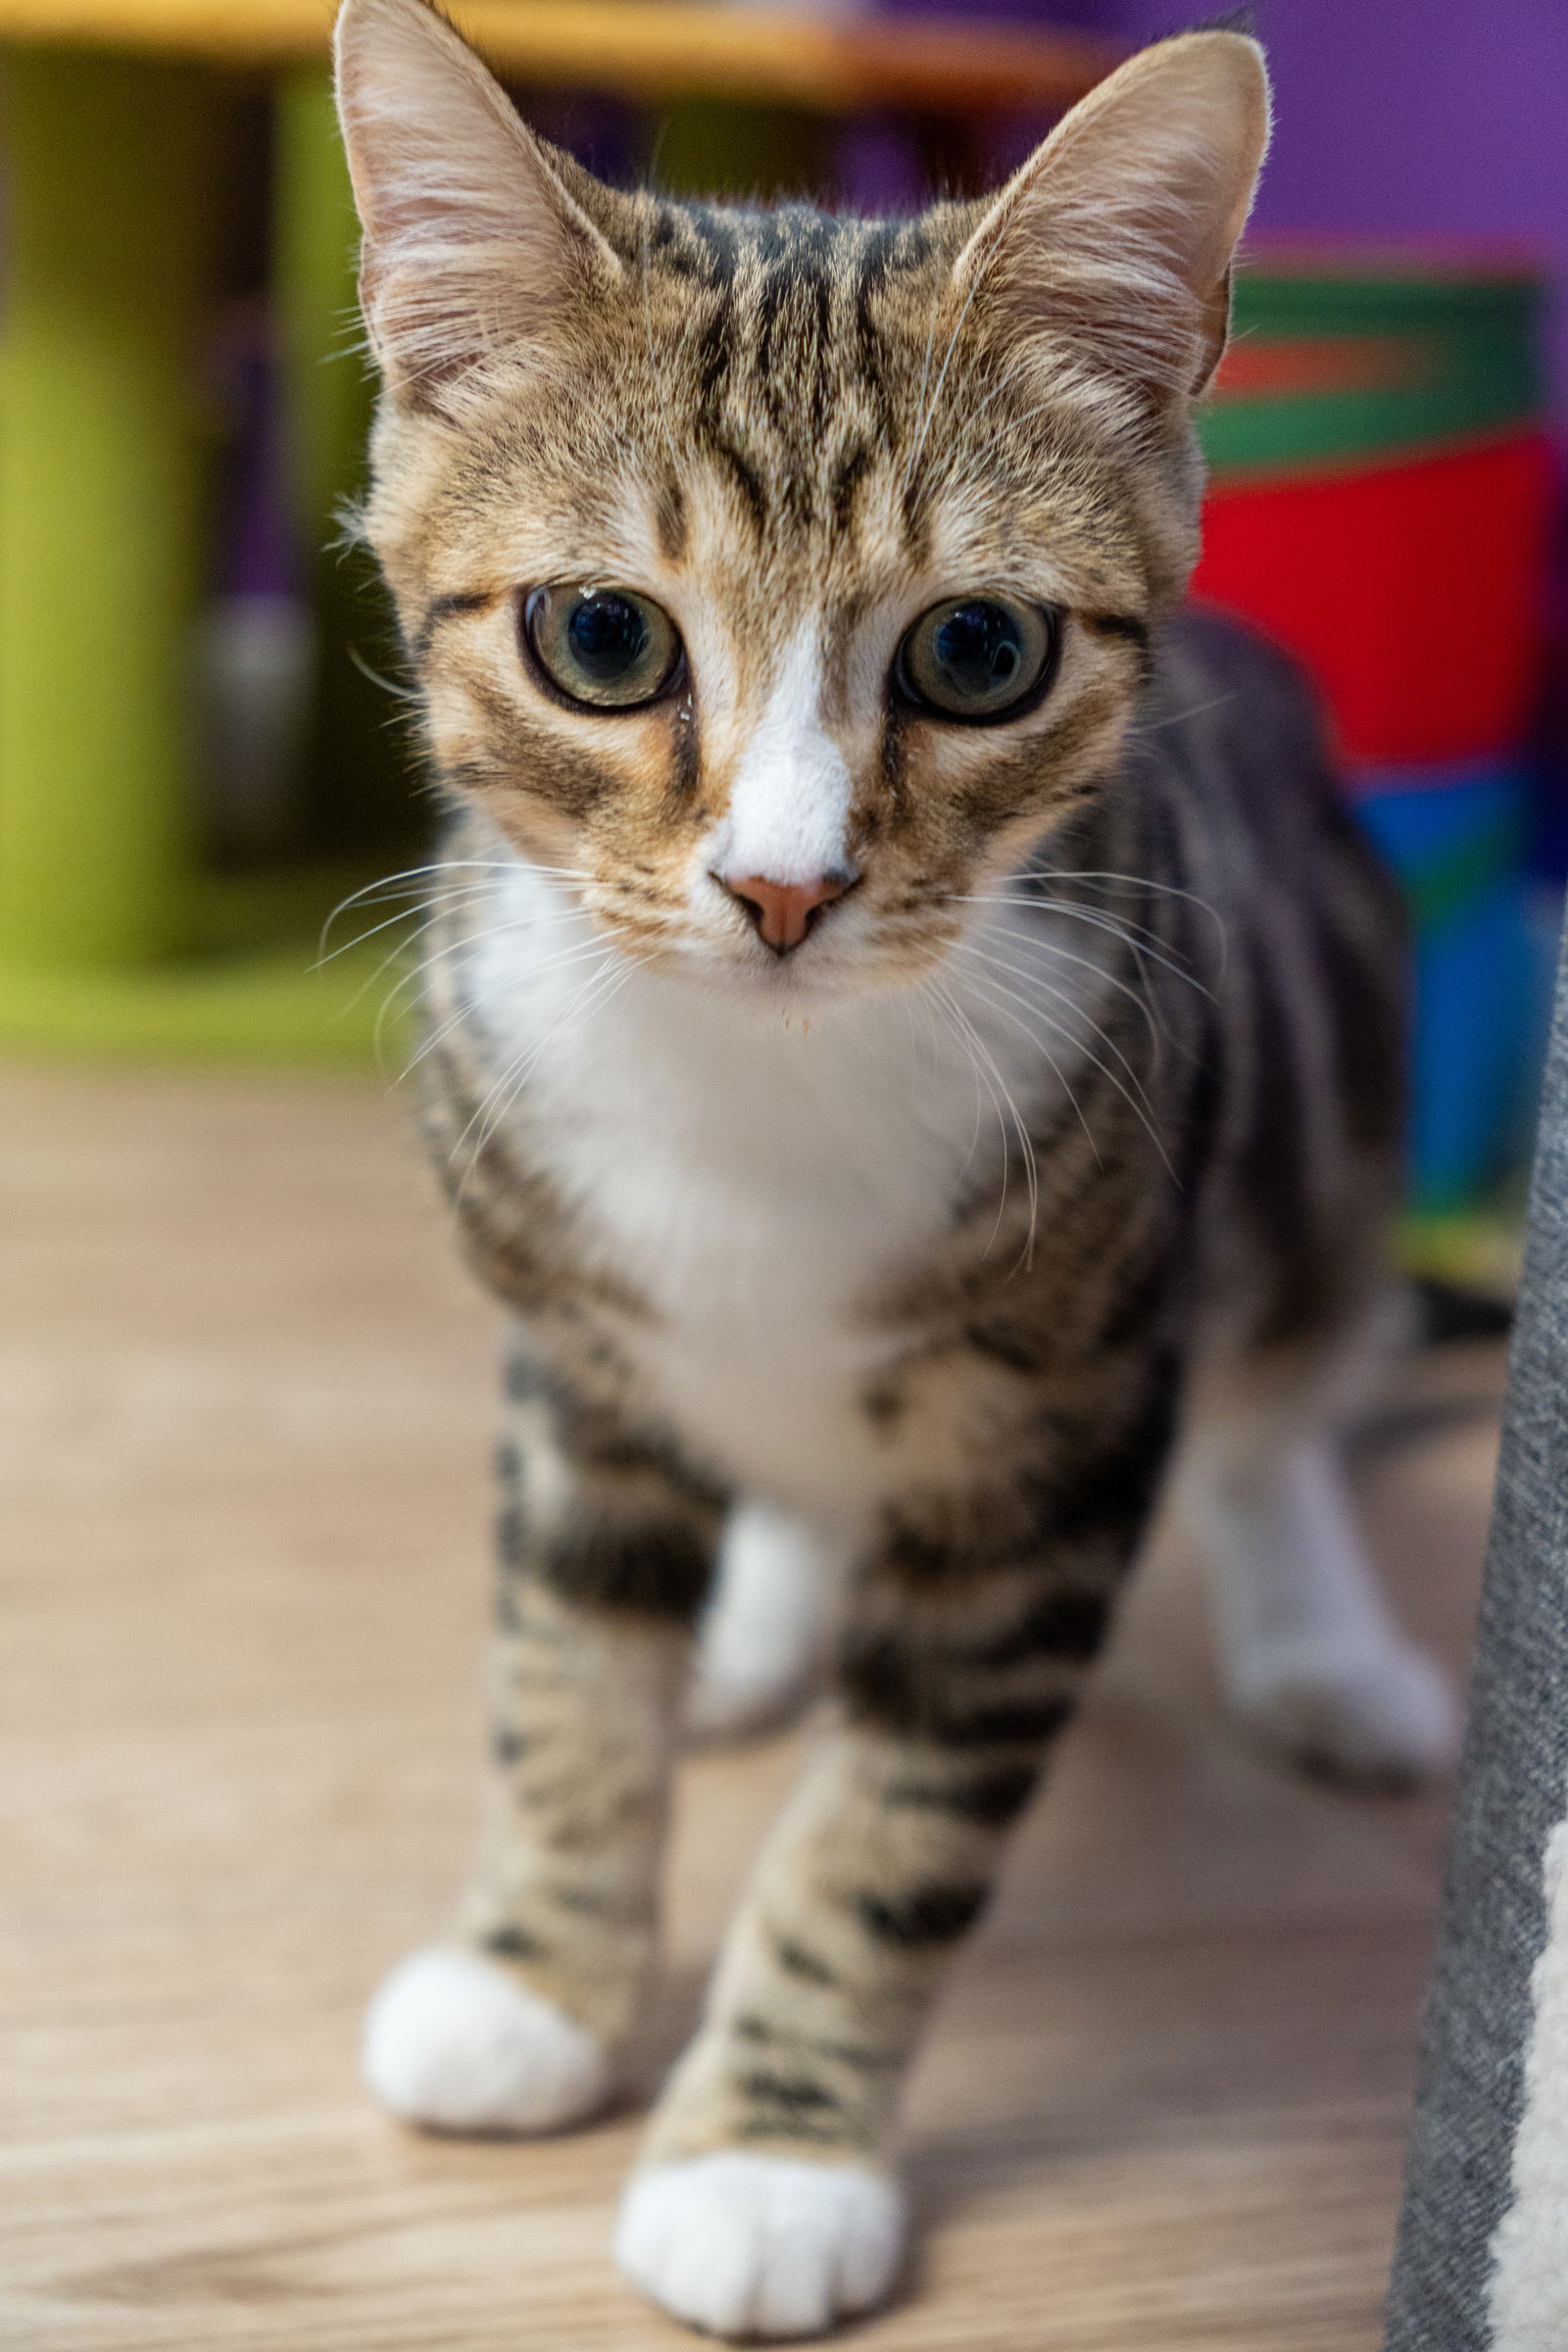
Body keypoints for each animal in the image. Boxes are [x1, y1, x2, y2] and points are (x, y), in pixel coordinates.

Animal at [331, 4, 1457, 2332]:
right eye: (601, 638)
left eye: (975, 652)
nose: (781, 888)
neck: (755, 1097)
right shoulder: (571, 1345)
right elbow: (564, 1670)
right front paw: (537, 1977)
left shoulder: (1058, 1436)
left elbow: (889, 1831)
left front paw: (766, 2154)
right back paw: (755, 1623)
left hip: (1318, 1133)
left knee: (1288, 1393)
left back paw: (1323, 1645)